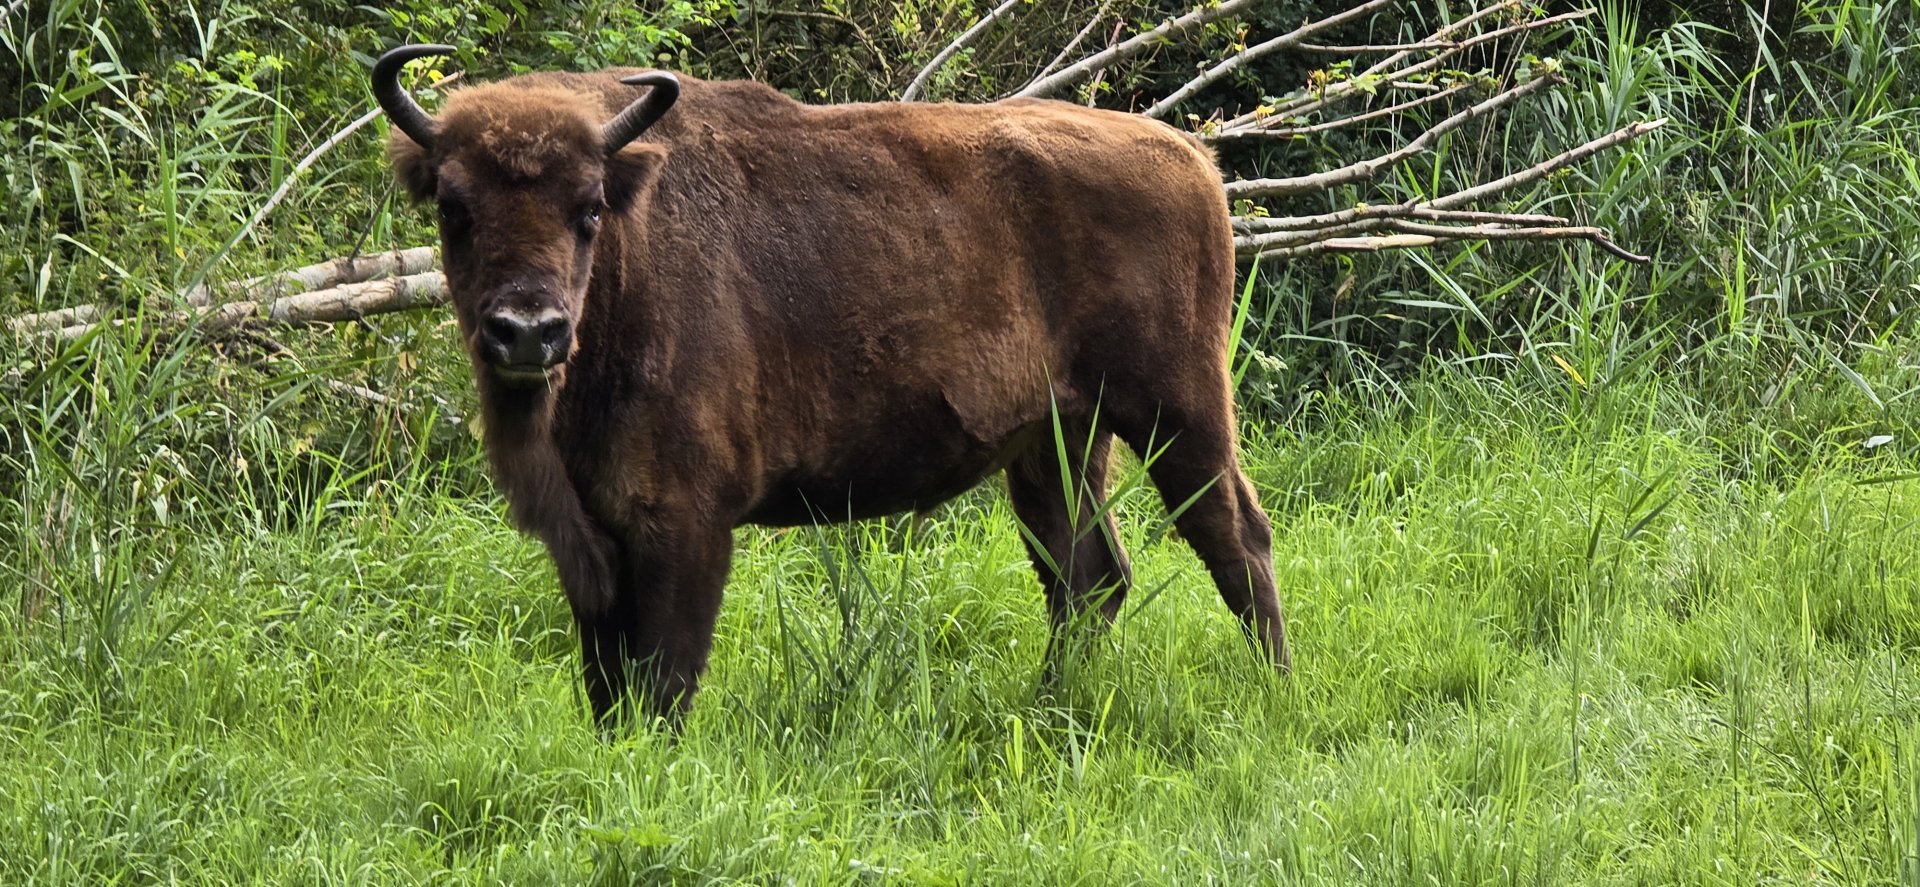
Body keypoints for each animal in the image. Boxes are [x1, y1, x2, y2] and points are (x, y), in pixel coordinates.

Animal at [373, 45, 1290, 725]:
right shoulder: (592, 540)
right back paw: (1048, 705)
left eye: (589, 208)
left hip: (1179, 413)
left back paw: (1274, 693)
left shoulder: (684, 524)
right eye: (453, 208)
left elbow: (664, 680)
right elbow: (610, 688)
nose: (528, 331)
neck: (628, 271)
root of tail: (1192, 159)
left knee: (1235, 538)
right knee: (1087, 575)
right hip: (1056, 443)